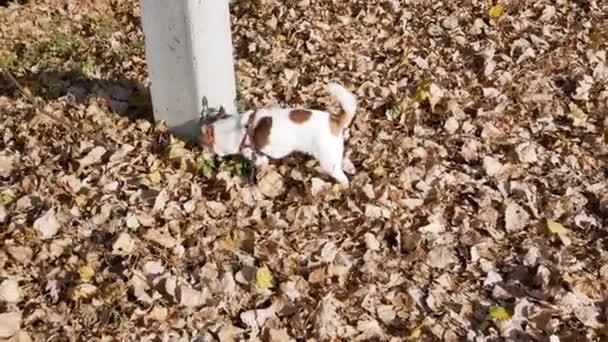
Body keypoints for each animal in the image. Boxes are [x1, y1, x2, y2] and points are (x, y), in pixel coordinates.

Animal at [200, 82, 358, 184]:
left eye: (204, 145)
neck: (236, 129)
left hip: (328, 161)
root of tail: (335, 120)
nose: (200, 152)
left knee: (343, 177)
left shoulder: (257, 156)